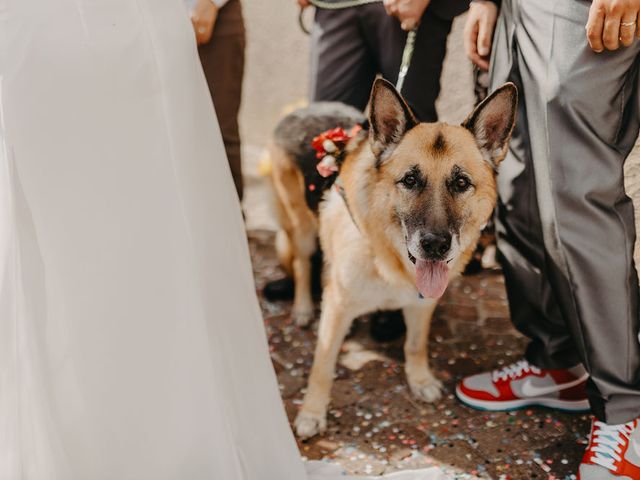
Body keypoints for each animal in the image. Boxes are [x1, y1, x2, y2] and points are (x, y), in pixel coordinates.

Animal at [268, 79, 516, 438]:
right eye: (410, 180)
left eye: (460, 183)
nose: (435, 246)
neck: (390, 256)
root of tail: (300, 109)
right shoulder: (338, 307)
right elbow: (323, 364)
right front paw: (313, 412)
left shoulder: (422, 303)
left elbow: (415, 344)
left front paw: (420, 379)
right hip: (300, 228)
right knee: (303, 265)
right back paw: (302, 307)